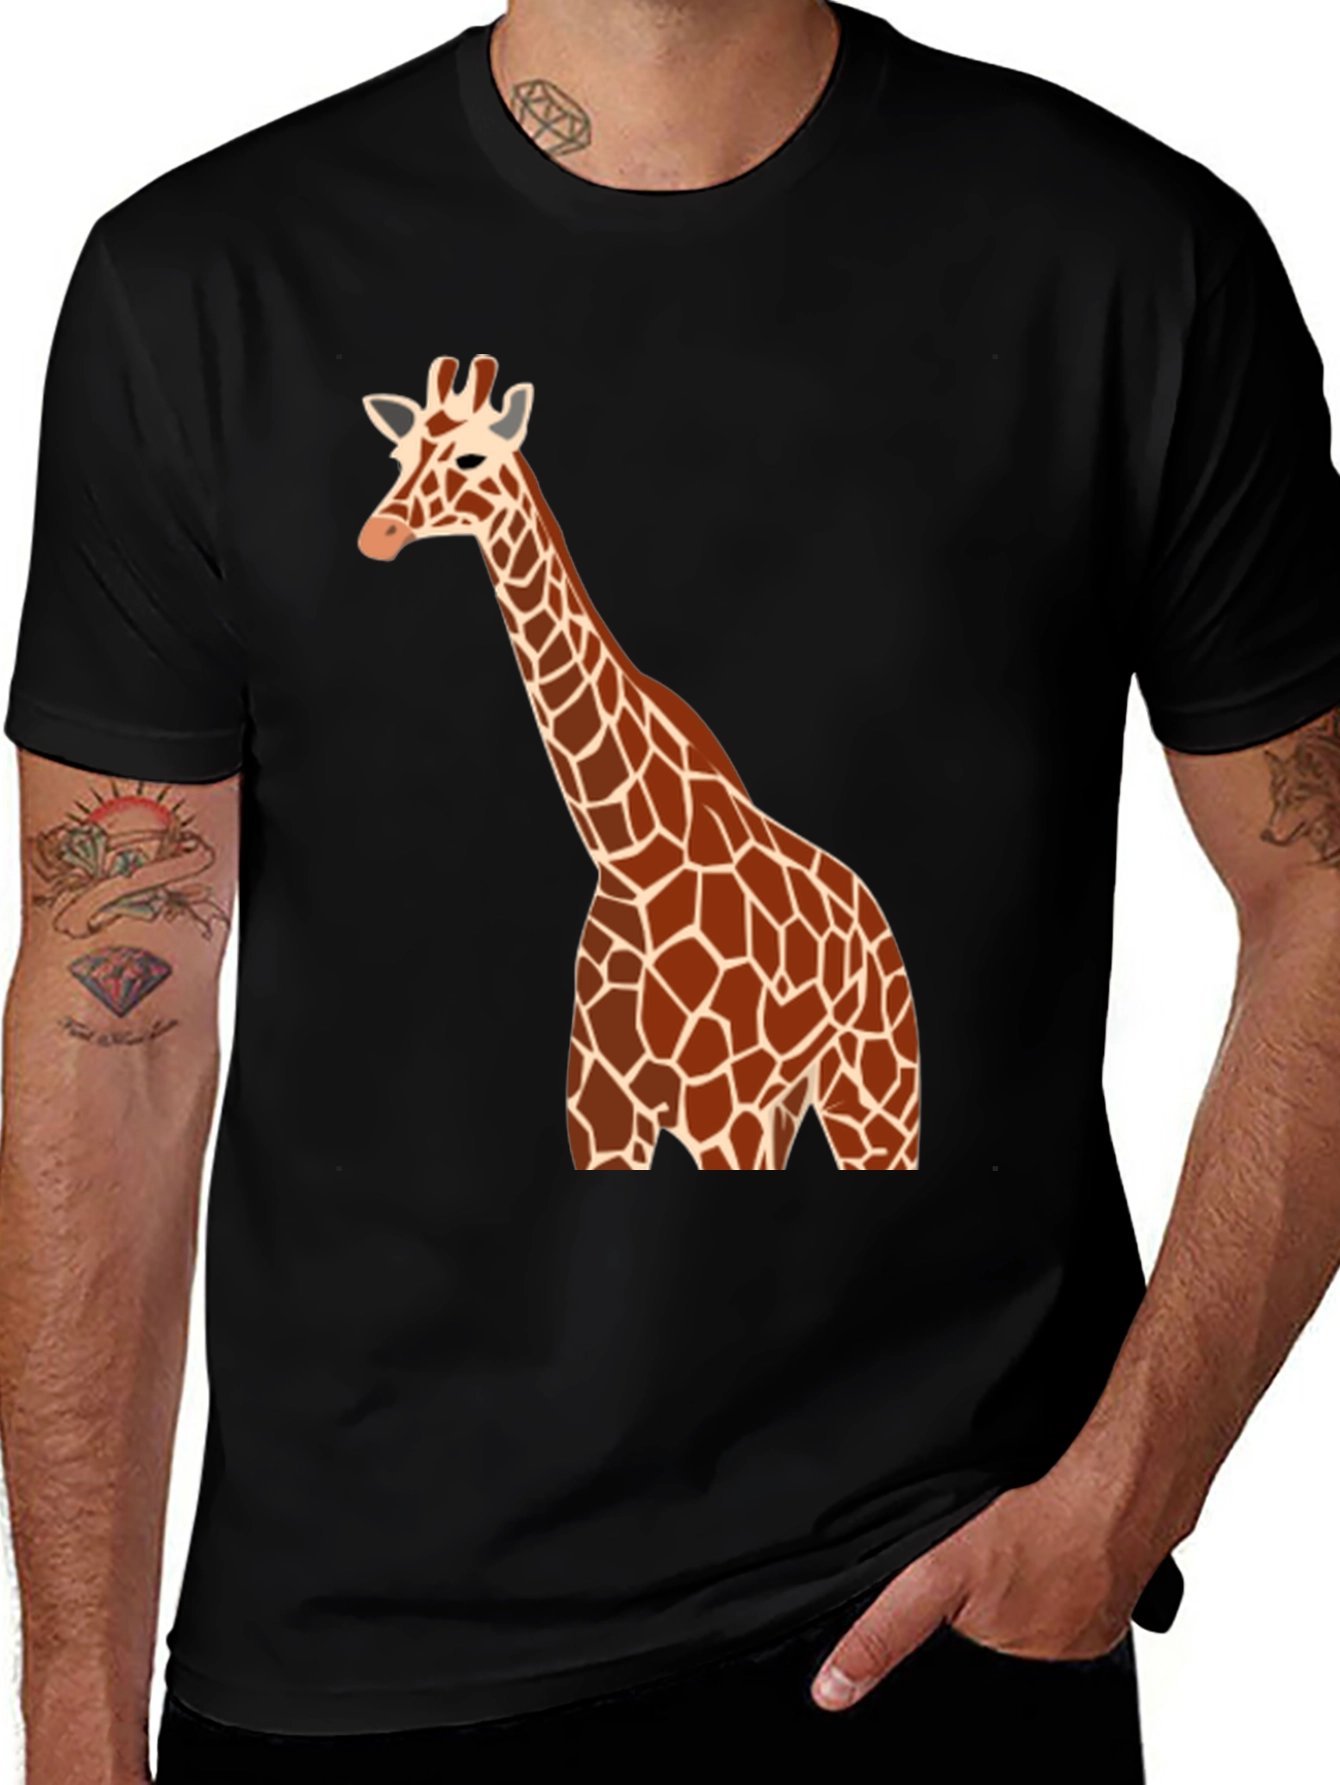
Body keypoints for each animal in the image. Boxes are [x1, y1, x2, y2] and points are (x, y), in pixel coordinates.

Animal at [358, 355, 919, 1171]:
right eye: (399, 457)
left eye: (471, 458)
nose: (380, 534)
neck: (632, 858)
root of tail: (878, 917)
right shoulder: (601, 1114)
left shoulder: (724, 1109)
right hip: (795, 1108)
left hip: (875, 1092)